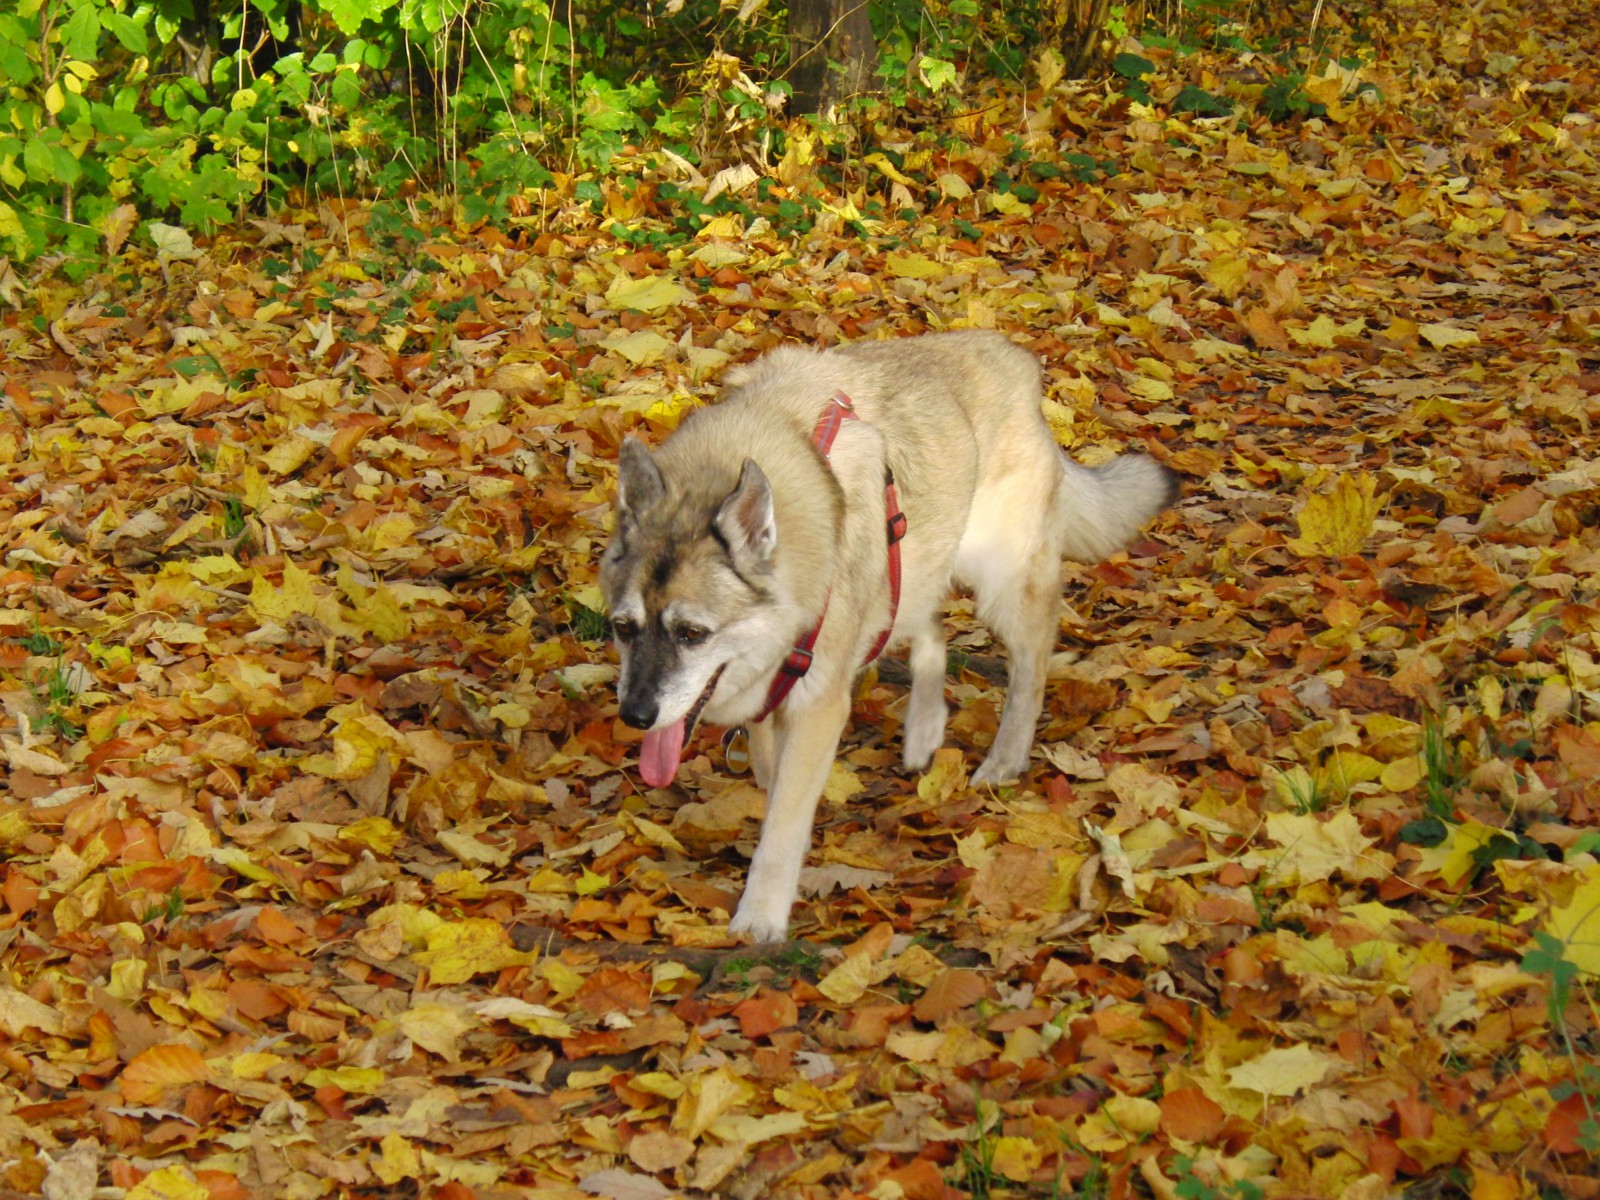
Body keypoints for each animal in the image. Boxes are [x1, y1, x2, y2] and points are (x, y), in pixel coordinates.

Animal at [600, 331, 1177, 942]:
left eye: (692, 633)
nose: (635, 716)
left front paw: (761, 916)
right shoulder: (772, 696)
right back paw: (924, 731)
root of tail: (1012, 355)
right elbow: (770, 777)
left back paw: (1004, 760)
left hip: (1000, 581)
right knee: (929, 629)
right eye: (623, 628)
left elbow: (782, 825)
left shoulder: (816, 706)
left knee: (1030, 665)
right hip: (916, 564)